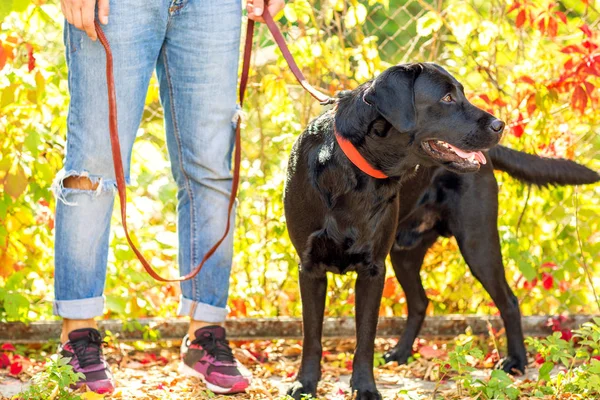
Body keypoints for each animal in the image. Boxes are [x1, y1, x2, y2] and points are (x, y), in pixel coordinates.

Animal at [384, 145, 600, 374]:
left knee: (509, 302)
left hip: (478, 245)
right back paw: (401, 352)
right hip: (403, 254)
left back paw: (516, 360)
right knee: (419, 302)